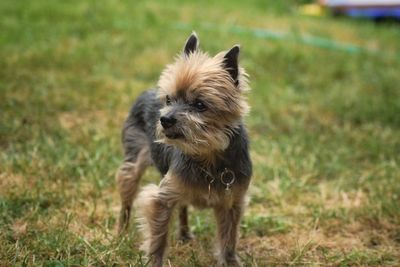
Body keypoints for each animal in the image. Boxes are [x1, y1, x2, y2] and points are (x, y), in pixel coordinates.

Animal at [115, 32, 252, 266]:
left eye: (200, 105)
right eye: (169, 99)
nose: (165, 119)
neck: (208, 157)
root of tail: (148, 91)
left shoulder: (232, 202)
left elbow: (228, 239)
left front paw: (230, 261)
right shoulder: (160, 200)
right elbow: (158, 239)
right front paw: (154, 262)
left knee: (183, 206)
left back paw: (185, 234)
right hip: (134, 159)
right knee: (127, 192)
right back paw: (121, 233)